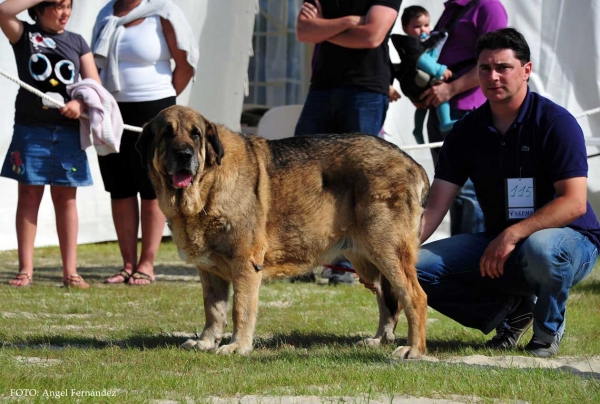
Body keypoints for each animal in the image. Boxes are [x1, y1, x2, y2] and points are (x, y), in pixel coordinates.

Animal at [139, 105, 432, 358]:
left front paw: (237, 346)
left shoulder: (245, 264)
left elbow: (240, 308)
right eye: (167, 133)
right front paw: (206, 342)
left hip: (387, 251)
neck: (207, 188)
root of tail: (414, 164)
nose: (184, 155)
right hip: (367, 260)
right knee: (387, 298)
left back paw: (414, 350)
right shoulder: (210, 272)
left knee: (414, 297)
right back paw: (379, 339)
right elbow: (213, 310)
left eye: (195, 134)